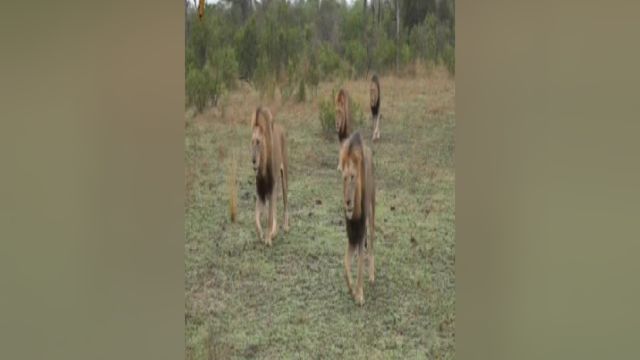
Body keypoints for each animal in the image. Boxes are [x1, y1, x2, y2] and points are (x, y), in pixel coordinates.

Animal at [250, 105, 290, 246]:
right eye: (252, 142)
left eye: (258, 142)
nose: (253, 160)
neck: (262, 169)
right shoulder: (260, 193)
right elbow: (256, 218)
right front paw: (262, 235)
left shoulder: (271, 188)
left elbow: (269, 217)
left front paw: (267, 239)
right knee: (273, 208)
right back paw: (274, 231)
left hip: (284, 178)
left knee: (285, 202)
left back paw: (285, 227)